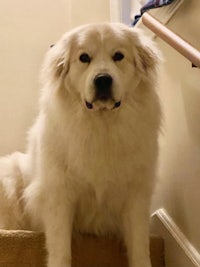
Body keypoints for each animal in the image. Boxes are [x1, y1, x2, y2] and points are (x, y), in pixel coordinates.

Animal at [0, 23, 161, 267]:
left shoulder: (136, 194)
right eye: (84, 57)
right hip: (10, 176)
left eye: (118, 56)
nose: (103, 79)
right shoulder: (59, 196)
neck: (101, 126)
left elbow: (140, 246)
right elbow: (60, 248)